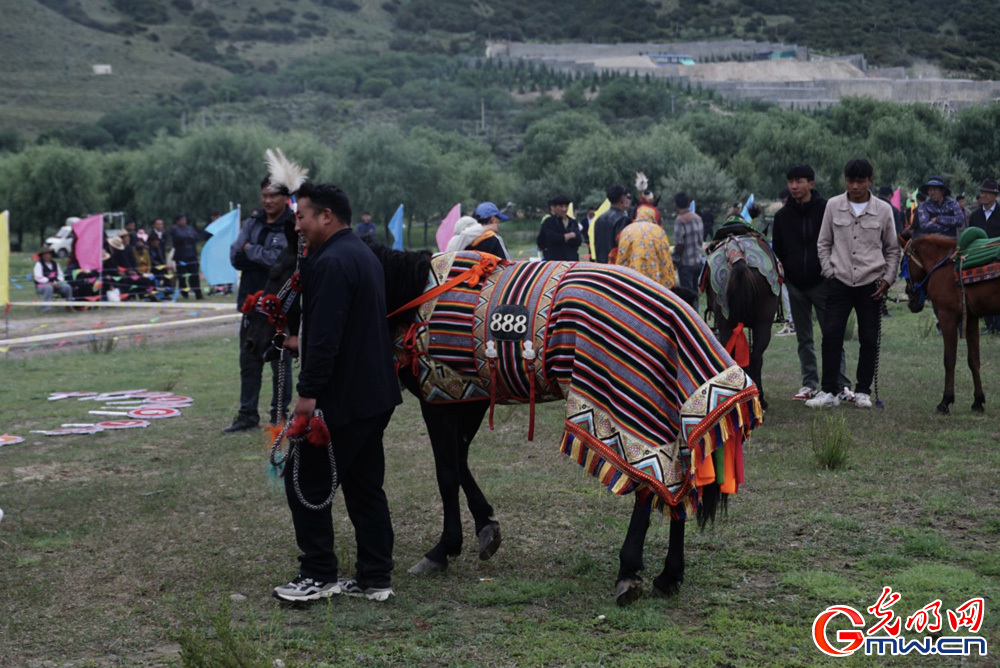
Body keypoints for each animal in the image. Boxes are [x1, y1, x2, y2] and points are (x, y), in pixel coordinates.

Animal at [246, 240, 760, 604]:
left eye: (276, 274)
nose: (253, 343)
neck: (415, 297)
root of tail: (678, 307)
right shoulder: (468, 397)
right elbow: (461, 465)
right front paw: (485, 528)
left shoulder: (440, 397)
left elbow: (447, 470)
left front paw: (444, 548)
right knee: (676, 487)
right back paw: (669, 574)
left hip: (628, 406)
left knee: (647, 483)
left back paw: (629, 569)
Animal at [904, 234, 1000, 412]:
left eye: (903, 264)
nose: (910, 301)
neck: (942, 263)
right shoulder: (971, 318)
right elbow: (974, 360)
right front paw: (978, 401)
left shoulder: (946, 315)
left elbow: (949, 359)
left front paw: (945, 401)